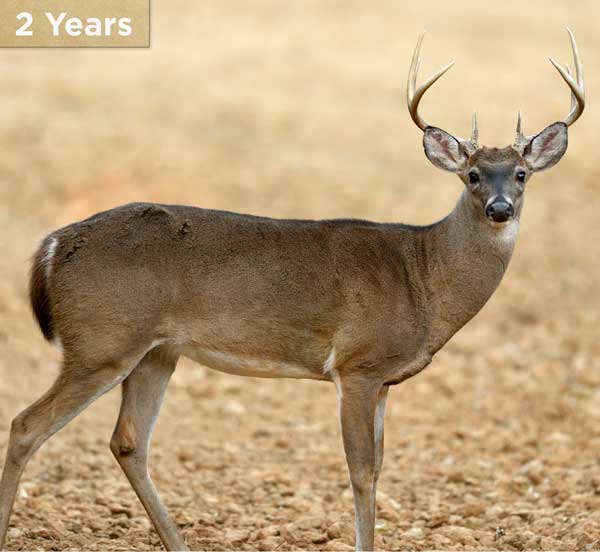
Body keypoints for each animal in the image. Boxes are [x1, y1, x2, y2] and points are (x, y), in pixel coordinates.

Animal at [0, 29, 584, 552]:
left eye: (522, 174)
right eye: (472, 175)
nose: (500, 209)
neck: (422, 275)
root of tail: (53, 244)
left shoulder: (385, 380)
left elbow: (378, 467)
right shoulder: (357, 364)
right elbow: (361, 473)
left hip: (156, 351)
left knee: (128, 441)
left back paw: (179, 544)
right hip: (103, 340)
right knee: (27, 424)